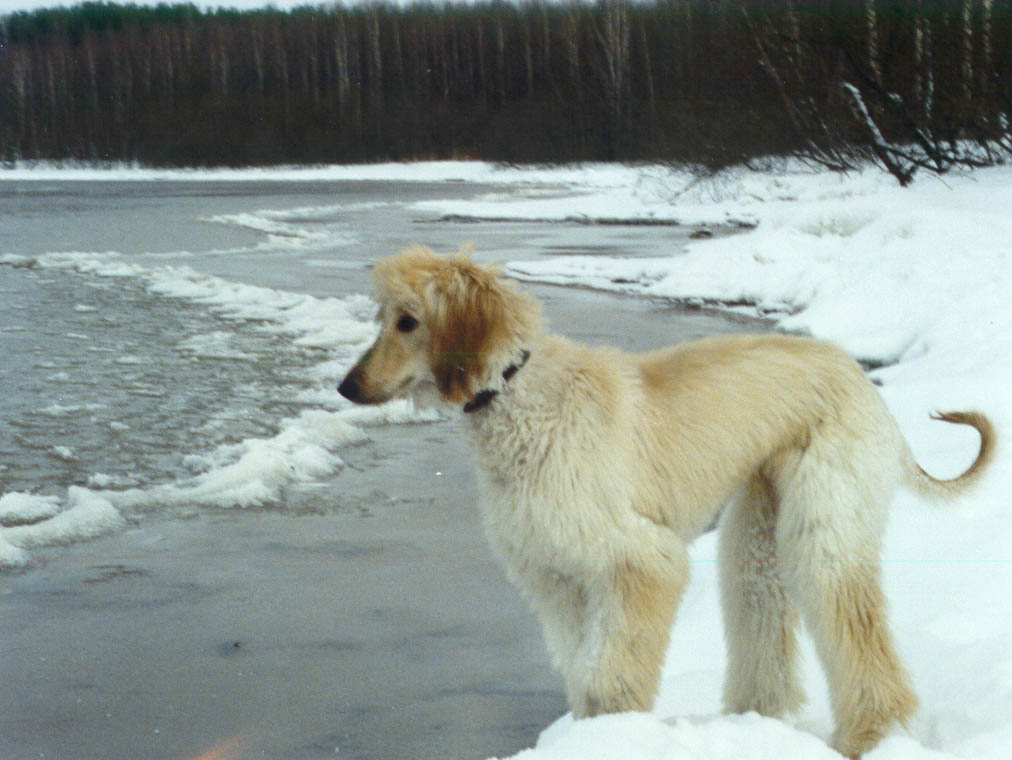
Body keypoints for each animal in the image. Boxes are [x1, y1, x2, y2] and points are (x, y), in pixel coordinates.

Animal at [335, 246, 991, 756]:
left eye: (408, 321)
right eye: (383, 316)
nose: (345, 387)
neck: (518, 393)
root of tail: (860, 376)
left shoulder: (637, 561)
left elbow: (613, 670)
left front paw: (614, 735)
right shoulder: (558, 575)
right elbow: (582, 666)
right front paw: (589, 736)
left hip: (824, 516)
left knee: (854, 623)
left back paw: (870, 735)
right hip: (757, 525)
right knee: (762, 611)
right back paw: (751, 721)